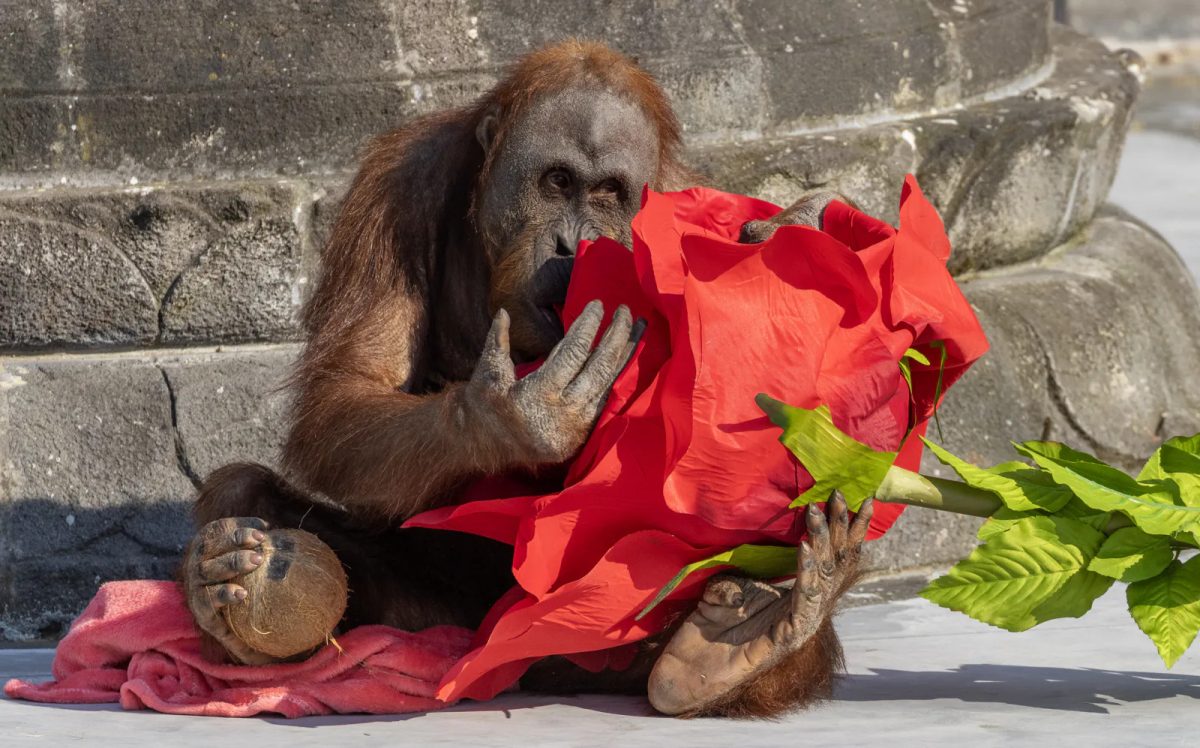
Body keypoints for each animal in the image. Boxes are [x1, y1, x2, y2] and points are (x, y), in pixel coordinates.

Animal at [182, 40, 864, 717]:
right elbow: (345, 391)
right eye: (557, 182)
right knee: (245, 495)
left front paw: (811, 225)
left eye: (607, 193)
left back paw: (734, 648)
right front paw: (516, 417)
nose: (570, 243)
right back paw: (226, 590)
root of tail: (541, 672)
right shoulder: (395, 190)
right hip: (447, 624)